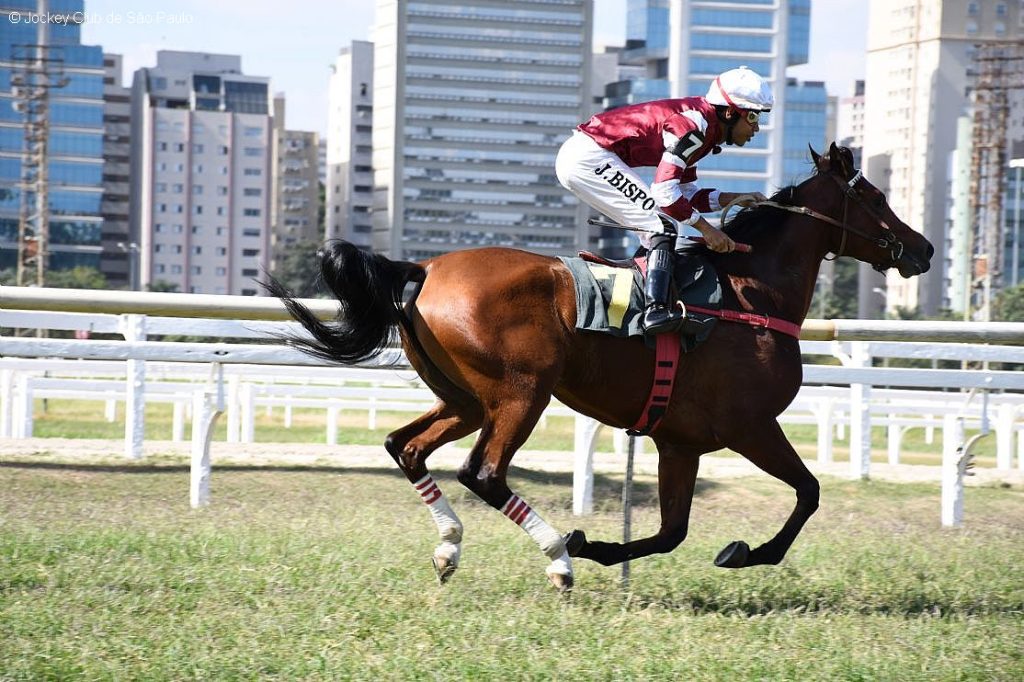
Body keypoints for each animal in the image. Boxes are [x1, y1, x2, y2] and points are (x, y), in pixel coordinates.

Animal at [266, 143, 937, 589]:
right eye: (876, 196)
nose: (924, 249)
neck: (750, 296)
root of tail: (424, 269)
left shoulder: (680, 441)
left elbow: (672, 531)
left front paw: (604, 548)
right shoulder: (750, 427)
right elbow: (808, 492)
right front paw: (745, 552)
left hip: (464, 398)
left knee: (405, 447)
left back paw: (450, 549)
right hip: (523, 392)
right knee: (483, 472)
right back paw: (557, 557)